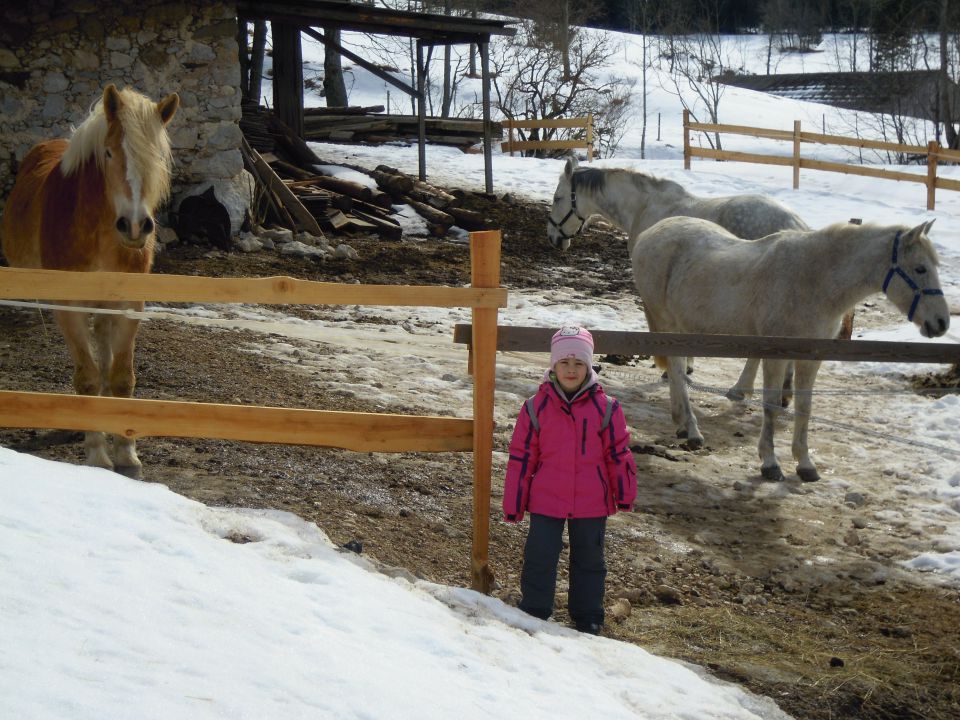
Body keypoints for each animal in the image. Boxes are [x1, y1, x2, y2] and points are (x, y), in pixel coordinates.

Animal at [1, 84, 180, 478]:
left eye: (157, 157)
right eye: (109, 152)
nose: (134, 226)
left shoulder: (130, 307)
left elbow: (121, 377)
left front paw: (127, 454)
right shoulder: (69, 307)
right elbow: (87, 377)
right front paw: (98, 455)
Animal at [632, 217, 948, 480]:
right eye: (920, 268)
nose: (942, 322)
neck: (814, 281)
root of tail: (650, 233)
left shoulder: (810, 358)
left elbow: (804, 407)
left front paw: (805, 464)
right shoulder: (776, 355)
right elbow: (771, 406)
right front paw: (770, 463)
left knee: (676, 371)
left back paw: (682, 424)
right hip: (669, 323)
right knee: (677, 370)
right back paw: (693, 430)